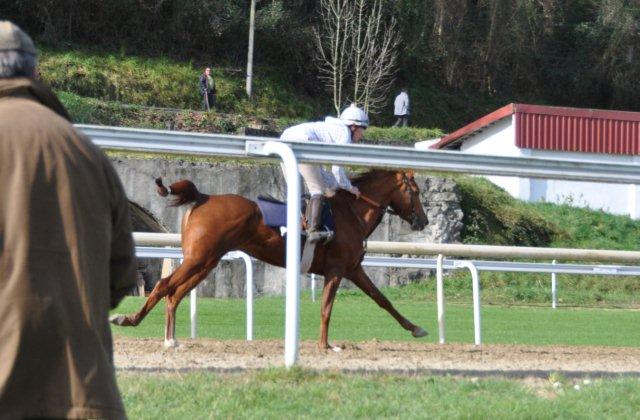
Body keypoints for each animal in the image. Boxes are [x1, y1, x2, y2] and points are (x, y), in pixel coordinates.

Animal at [112, 169, 430, 350]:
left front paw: (416, 327)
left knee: (175, 293)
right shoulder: (337, 270)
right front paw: (325, 345)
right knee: (163, 285)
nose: (423, 220)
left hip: (205, 261)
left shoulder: (353, 269)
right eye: (415, 191)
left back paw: (171, 338)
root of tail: (203, 196)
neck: (350, 213)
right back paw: (130, 319)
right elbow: (327, 308)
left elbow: (383, 300)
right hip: (198, 258)